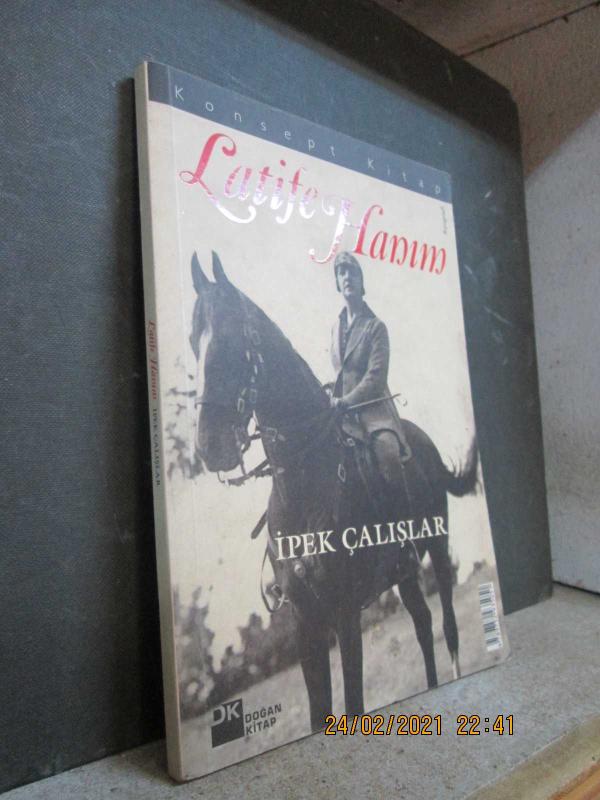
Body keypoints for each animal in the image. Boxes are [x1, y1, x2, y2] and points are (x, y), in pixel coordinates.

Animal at [189, 250, 478, 730]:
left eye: (232, 339)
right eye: (195, 340)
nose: (210, 446)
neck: (303, 484)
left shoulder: (344, 614)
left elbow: (353, 703)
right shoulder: (307, 622)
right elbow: (318, 711)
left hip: (437, 547)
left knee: (449, 625)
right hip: (404, 576)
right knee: (421, 623)